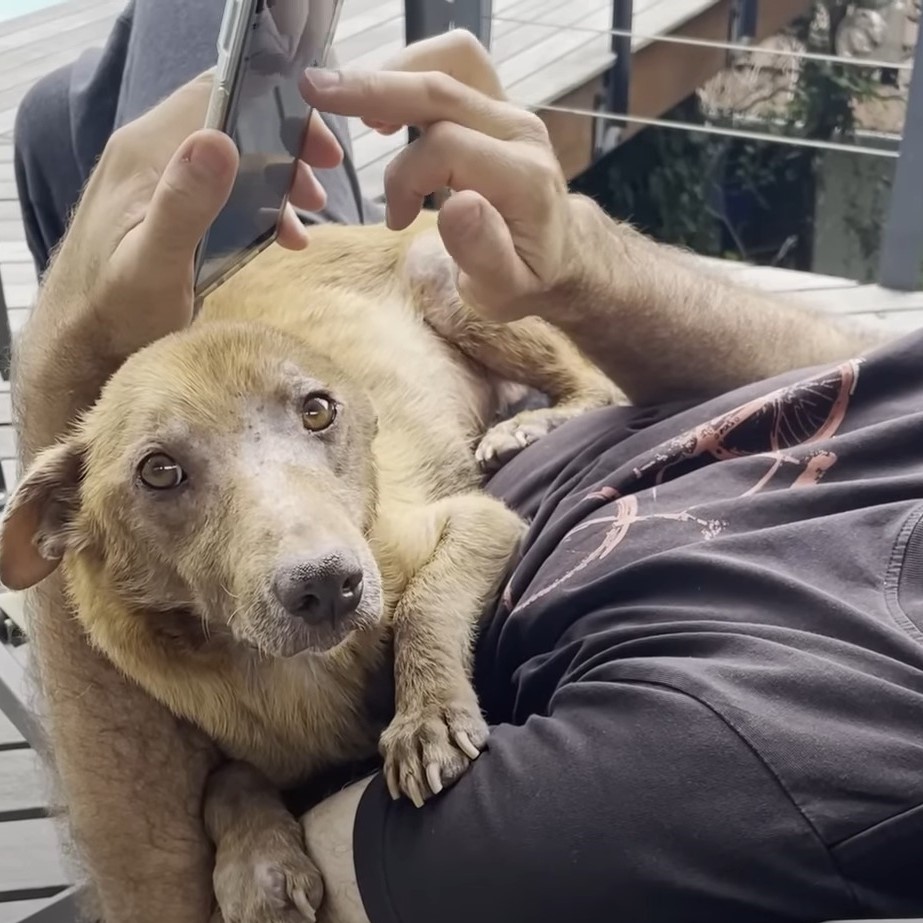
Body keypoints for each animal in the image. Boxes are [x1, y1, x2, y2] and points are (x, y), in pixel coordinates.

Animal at [0, 213, 624, 920]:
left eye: (318, 410)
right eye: (158, 470)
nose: (329, 587)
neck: (292, 670)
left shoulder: (477, 521)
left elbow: (425, 603)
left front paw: (426, 717)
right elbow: (225, 777)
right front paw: (256, 867)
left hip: (454, 285)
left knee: (597, 383)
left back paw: (527, 426)